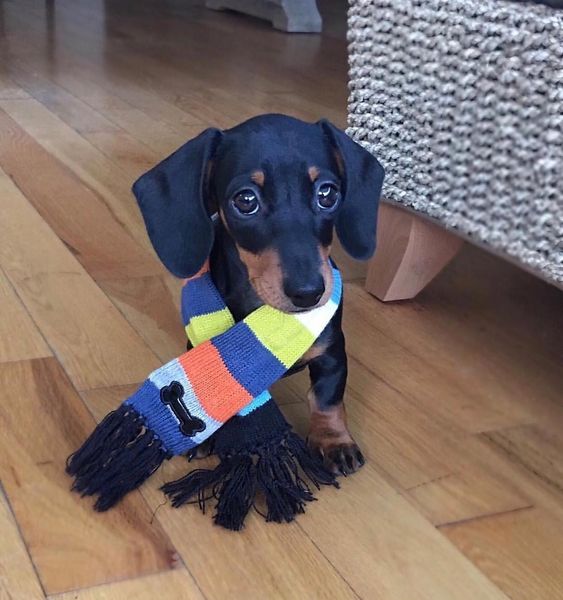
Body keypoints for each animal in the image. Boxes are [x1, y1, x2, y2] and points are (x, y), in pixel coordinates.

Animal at [133, 113, 384, 474]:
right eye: (246, 200)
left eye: (327, 193)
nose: (309, 293)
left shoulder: (333, 353)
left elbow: (327, 400)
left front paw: (334, 441)